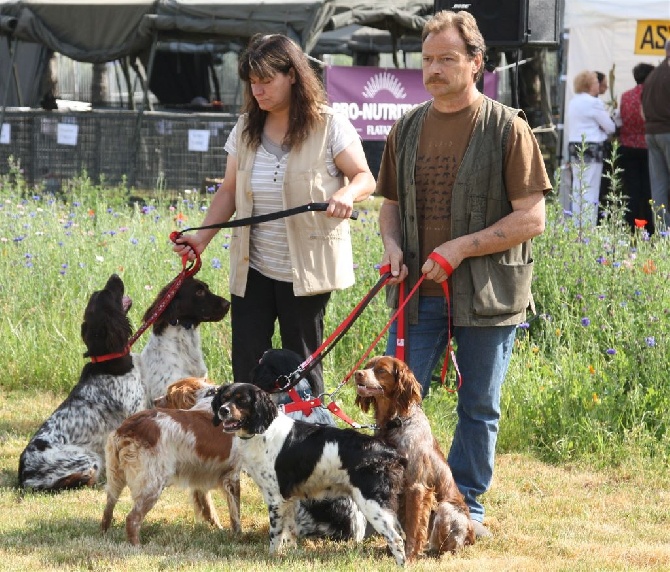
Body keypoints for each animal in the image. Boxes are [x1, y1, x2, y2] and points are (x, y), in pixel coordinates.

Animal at [213, 382, 406, 564]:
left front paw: (271, 556)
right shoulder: (289, 499)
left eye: (242, 400)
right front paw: (289, 555)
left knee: (395, 538)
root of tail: (388, 451)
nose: (223, 410)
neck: (264, 430)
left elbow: (275, 535)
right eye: (224, 398)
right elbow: (290, 533)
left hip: (371, 503)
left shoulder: (275, 498)